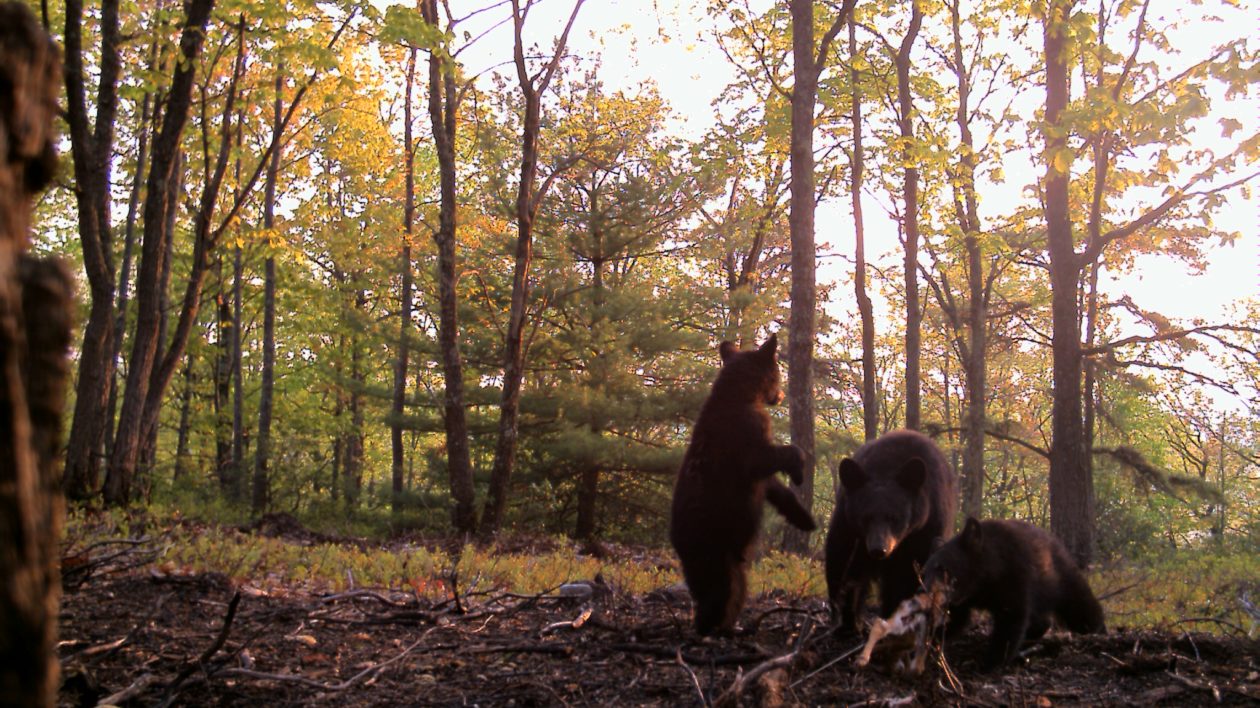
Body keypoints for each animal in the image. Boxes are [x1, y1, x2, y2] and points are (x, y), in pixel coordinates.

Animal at [670, 332, 816, 634]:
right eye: (778, 374)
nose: (780, 395)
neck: (743, 396)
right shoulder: (745, 441)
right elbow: (775, 456)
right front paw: (799, 468)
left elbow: (773, 486)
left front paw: (803, 517)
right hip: (712, 548)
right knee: (719, 591)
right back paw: (710, 628)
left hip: (730, 559)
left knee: (736, 589)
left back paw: (730, 626)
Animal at [821, 428, 947, 629]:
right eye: (866, 517)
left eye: (894, 518)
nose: (878, 549)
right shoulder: (849, 525)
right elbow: (843, 562)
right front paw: (846, 620)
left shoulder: (926, 530)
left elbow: (914, 574)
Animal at [922, 516, 1108, 665]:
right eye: (925, 571)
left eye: (943, 568)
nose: (923, 589)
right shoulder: (962, 598)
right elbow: (958, 618)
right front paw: (932, 636)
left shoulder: (1014, 576)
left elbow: (1011, 617)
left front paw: (991, 660)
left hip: (1060, 577)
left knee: (1081, 605)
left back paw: (1098, 630)